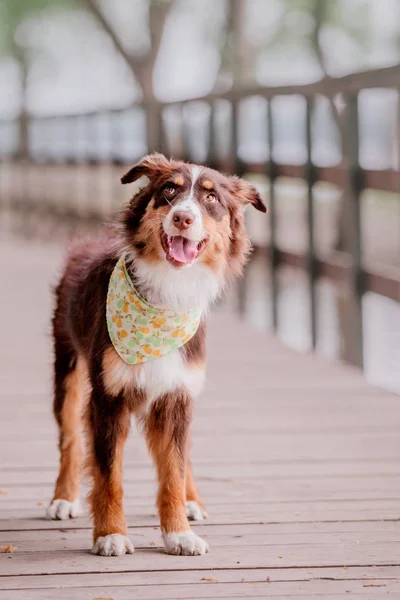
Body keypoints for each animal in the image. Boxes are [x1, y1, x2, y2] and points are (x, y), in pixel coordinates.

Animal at [47, 152, 266, 556]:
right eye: (169, 191)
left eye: (210, 199)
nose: (182, 218)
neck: (168, 294)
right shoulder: (108, 399)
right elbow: (108, 475)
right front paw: (111, 535)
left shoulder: (177, 396)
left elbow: (173, 472)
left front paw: (179, 533)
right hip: (68, 369)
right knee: (70, 438)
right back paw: (64, 498)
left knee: (184, 454)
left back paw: (193, 500)